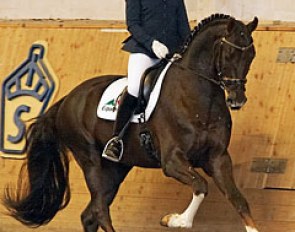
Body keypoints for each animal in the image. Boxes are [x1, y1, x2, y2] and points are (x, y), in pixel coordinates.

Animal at [4, 14, 260, 232]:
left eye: (251, 56)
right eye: (229, 54)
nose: (237, 100)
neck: (196, 99)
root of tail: (67, 99)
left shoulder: (217, 158)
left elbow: (238, 199)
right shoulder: (172, 161)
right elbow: (200, 186)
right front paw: (176, 220)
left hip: (116, 169)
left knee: (90, 214)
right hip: (91, 162)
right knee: (100, 211)